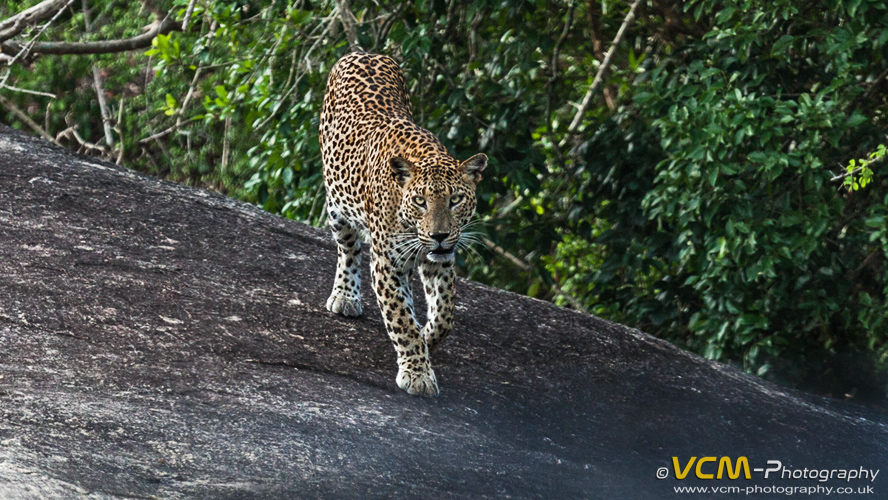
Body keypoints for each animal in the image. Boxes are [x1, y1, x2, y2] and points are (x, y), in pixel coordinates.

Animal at [320, 49, 486, 394]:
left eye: (455, 200)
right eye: (421, 201)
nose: (439, 235)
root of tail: (363, 52)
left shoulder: (441, 261)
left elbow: (445, 314)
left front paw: (427, 339)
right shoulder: (387, 263)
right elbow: (402, 320)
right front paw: (417, 373)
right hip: (337, 205)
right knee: (348, 248)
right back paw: (345, 295)